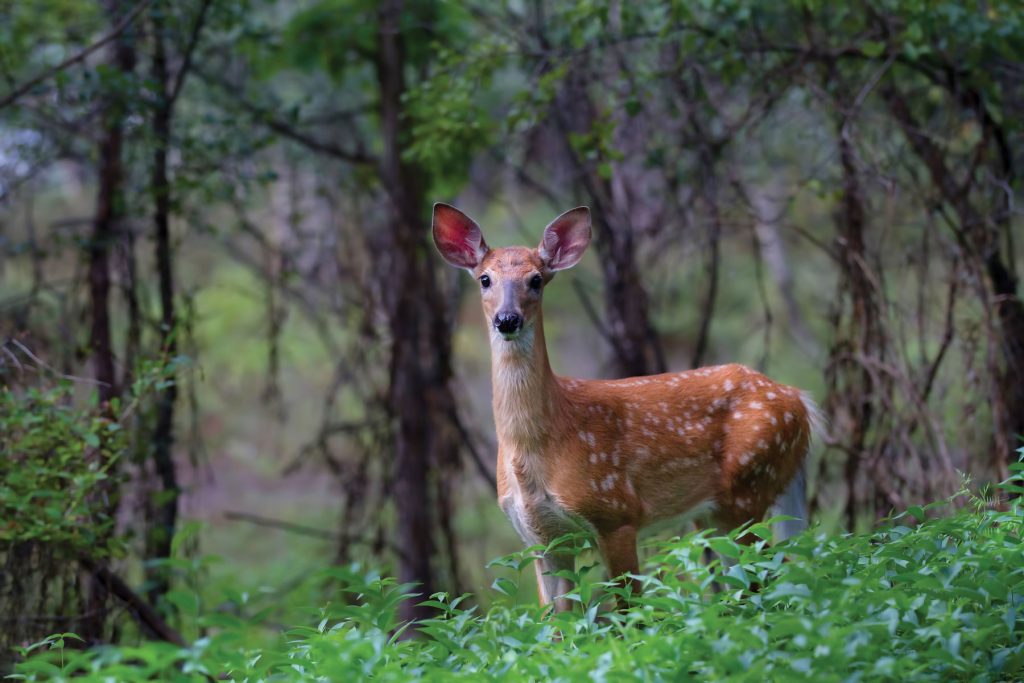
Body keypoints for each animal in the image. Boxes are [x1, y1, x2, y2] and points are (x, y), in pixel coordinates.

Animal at [432, 202, 823, 614]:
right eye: (485, 279)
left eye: (536, 279)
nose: (507, 319)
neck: (541, 444)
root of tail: (799, 399)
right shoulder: (540, 539)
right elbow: (553, 622)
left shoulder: (616, 513)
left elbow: (629, 612)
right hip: (720, 510)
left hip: (747, 487)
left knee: (769, 579)